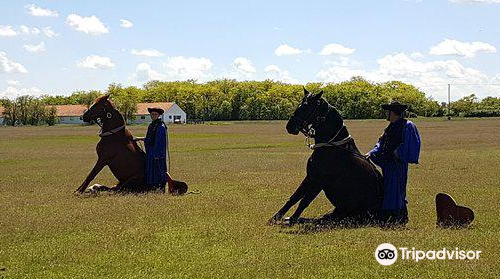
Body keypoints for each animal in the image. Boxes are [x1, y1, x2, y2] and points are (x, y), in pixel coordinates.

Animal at [270, 88, 382, 226]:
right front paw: (276, 217)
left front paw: (291, 220)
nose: (290, 126)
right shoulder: (310, 177)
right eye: (300, 104)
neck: (331, 147)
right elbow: (294, 197)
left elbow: (304, 201)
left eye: (307, 107)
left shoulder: (319, 182)